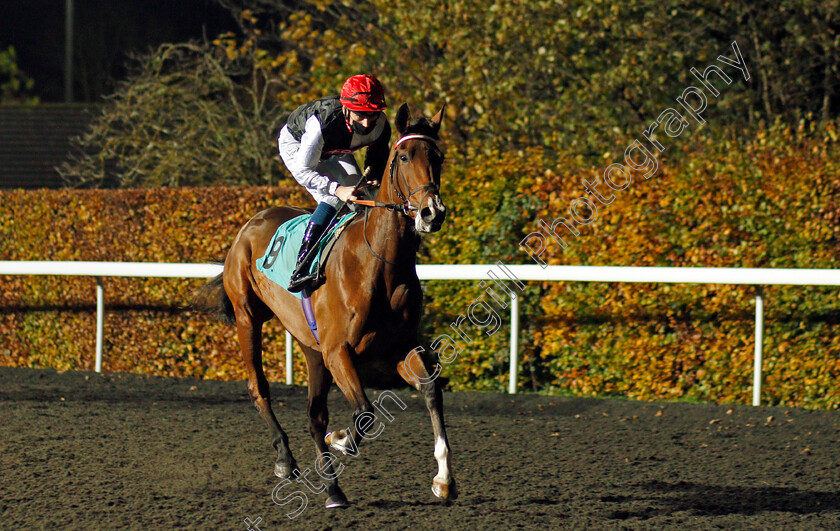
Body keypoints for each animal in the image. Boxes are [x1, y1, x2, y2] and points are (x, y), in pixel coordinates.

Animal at [194, 102, 456, 510]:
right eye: (404, 155)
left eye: (438, 157)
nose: (432, 212)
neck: (379, 262)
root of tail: (251, 223)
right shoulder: (339, 351)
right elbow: (364, 412)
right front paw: (343, 439)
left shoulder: (396, 347)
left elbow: (430, 388)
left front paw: (444, 479)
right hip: (247, 316)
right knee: (260, 388)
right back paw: (286, 460)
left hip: (311, 347)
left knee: (315, 415)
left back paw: (334, 491)